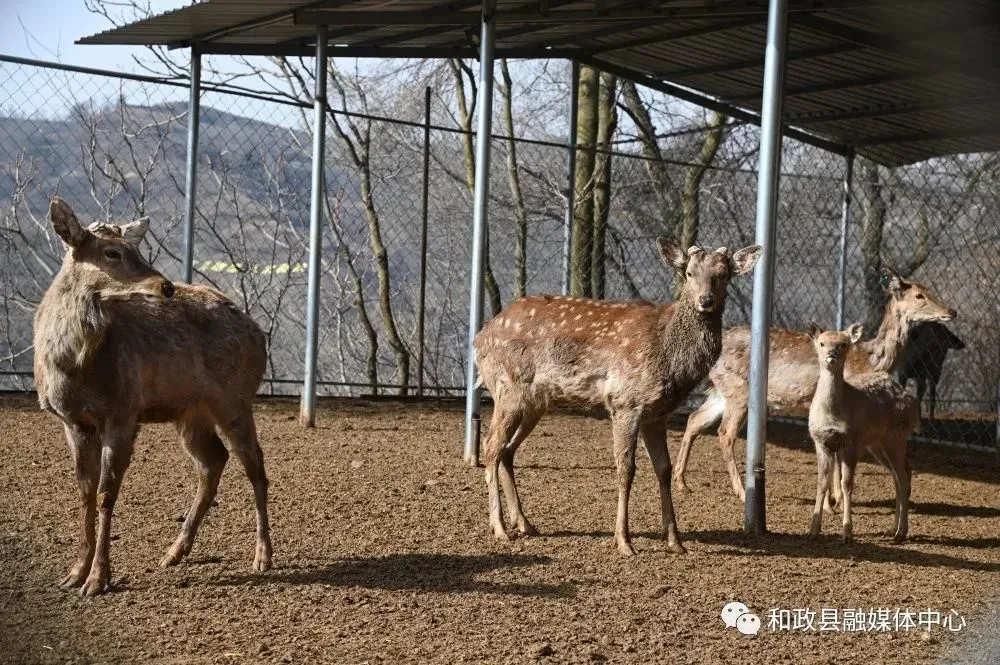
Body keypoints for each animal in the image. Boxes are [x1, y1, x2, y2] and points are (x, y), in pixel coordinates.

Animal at [34, 197, 274, 596]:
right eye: (111, 251)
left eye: (138, 249)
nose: (166, 286)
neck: (73, 368)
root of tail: (258, 332)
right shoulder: (72, 421)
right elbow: (85, 492)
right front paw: (74, 573)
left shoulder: (123, 411)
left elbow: (106, 493)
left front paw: (98, 579)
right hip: (190, 411)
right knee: (214, 460)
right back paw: (174, 551)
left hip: (235, 398)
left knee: (255, 464)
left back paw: (263, 556)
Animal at [472, 239, 760, 556]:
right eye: (689, 273)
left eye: (723, 275)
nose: (705, 300)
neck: (668, 356)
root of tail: (479, 338)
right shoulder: (625, 402)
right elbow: (626, 469)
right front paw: (624, 541)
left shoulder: (657, 413)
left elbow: (663, 469)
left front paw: (675, 541)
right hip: (507, 388)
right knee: (491, 446)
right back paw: (500, 528)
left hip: (535, 401)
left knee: (508, 450)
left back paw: (524, 523)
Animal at [672, 268, 952, 500]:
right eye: (918, 295)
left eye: (928, 289)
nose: (951, 312)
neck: (869, 360)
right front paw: (835, 500)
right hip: (738, 390)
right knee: (725, 433)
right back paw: (741, 492)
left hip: (722, 391)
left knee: (695, 419)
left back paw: (682, 482)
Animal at [808, 322, 916, 544]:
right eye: (821, 343)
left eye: (843, 344)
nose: (831, 354)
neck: (832, 415)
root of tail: (912, 404)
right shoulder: (820, 441)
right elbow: (822, 482)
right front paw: (814, 530)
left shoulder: (852, 441)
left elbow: (847, 484)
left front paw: (847, 533)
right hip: (877, 443)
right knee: (899, 474)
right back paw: (892, 529)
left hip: (895, 435)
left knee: (903, 477)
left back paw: (900, 533)